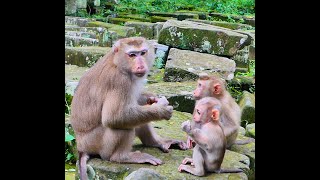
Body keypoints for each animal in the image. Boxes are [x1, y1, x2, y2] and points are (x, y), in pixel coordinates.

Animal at [69, 37, 185, 180]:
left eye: (143, 53)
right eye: (132, 55)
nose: (141, 65)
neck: (118, 63)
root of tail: (81, 147)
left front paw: (152, 98)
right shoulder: (119, 81)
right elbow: (114, 117)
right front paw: (161, 110)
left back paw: (155, 142)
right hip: (96, 143)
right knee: (122, 126)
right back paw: (122, 157)